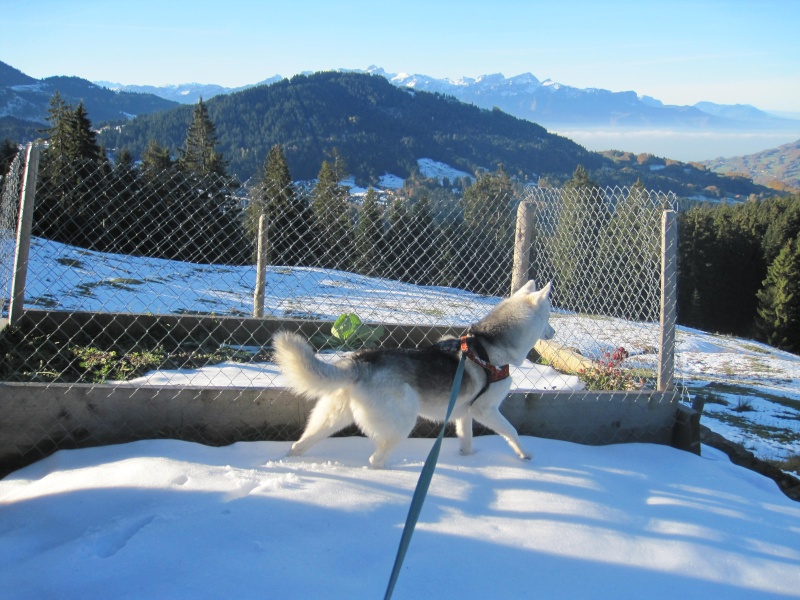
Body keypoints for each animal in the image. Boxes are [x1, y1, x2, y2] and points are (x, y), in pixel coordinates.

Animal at [272, 282, 552, 468]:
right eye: (550, 314)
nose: (555, 332)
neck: (490, 343)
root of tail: (362, 360)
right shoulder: (486, 410)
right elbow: (513, 432)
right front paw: (525, 455)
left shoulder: (464, 414)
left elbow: (467, 442)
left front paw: (468, 461)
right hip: (403, 422)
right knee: (375, 459)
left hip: (330, 419)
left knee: (299, 444)